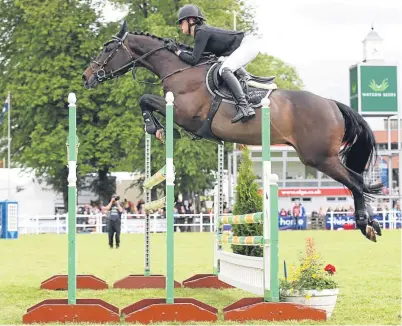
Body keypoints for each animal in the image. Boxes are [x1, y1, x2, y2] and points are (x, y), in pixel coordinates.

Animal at [82, 19, 384, 241]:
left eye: (107, 50)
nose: (86, 77)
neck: (179, 70)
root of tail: (333, 104)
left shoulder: (183, 114)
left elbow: (145, 99)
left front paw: (155, 128)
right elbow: (145, 100)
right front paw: (156, 128)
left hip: (319, 158)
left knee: (356, 181)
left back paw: (366, 224)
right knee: (357, 180)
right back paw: (371, 224)